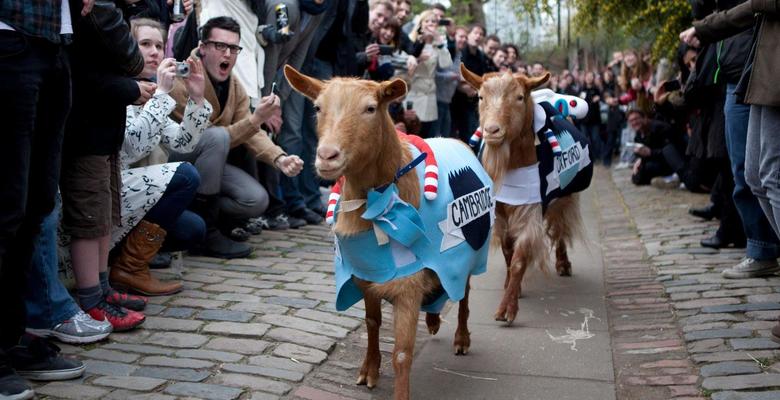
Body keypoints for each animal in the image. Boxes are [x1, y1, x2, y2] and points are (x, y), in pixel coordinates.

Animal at [284, 64, 488, 398]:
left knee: (464, 295)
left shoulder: (408, 286)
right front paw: (368, 371)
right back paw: (433, 320)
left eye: (370, 108)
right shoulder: (367, 277)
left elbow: (402, 353)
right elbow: (371, 322)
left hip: (469, 255)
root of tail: (457, 140)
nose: (327, 156)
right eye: (317, 107)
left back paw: (461, 338)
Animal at [460, 64, 580, 324]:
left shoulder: (530, 210)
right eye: (480, 97)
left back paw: (563, 263)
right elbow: (508, 250)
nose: (492, 130)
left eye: (519, 97)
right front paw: (510, 286)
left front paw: (507, 309)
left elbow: (519, 258)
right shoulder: (500, 212)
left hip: (564, 197)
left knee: (560, 228)